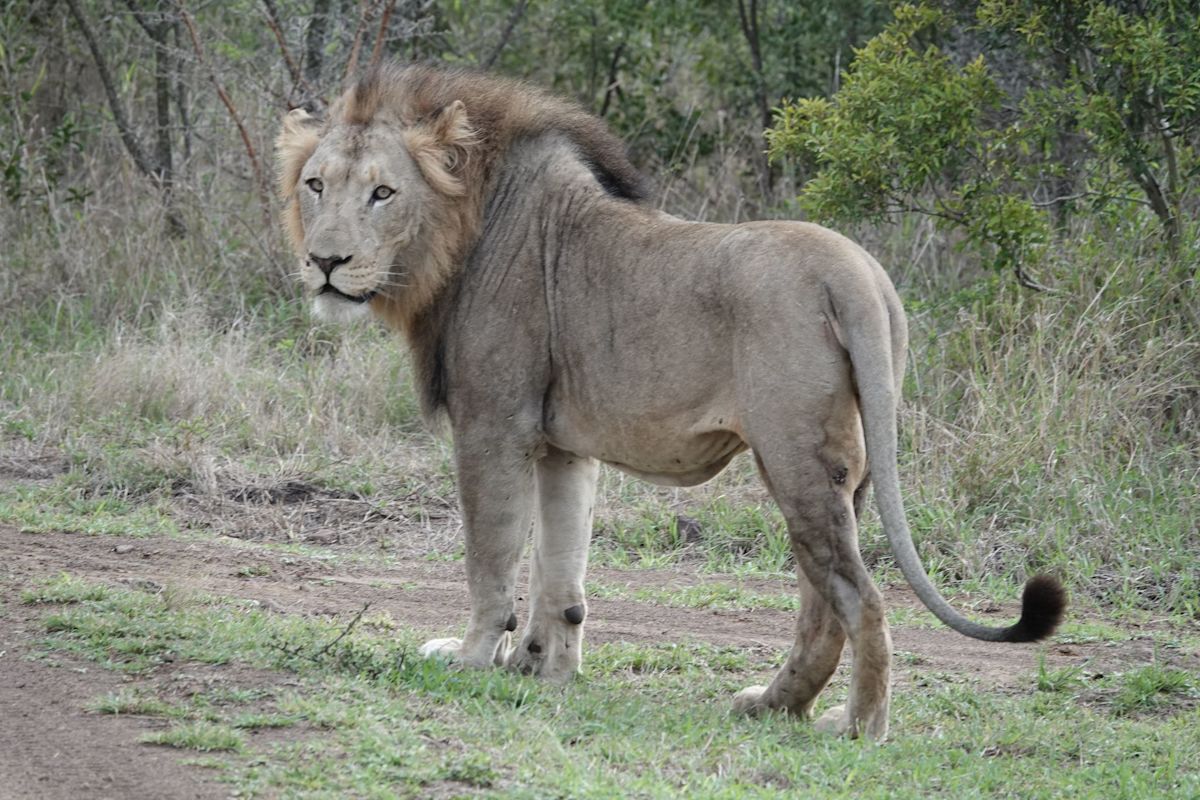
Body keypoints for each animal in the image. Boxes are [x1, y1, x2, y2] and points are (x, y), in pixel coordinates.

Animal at [275, 64, 1066, 741]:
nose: (325, 262)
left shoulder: (492, 424)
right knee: (822, 601)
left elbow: (491, 559)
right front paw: (541, 669)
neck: (463, 229)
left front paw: (472, 660)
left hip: (794, 456)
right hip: (848, 470)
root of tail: (858, 276)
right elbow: (560, 570)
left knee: (858, 597)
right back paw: (773, 706)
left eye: (383, 193)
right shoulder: (561, 444)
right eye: (315, 184)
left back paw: (858, 727)